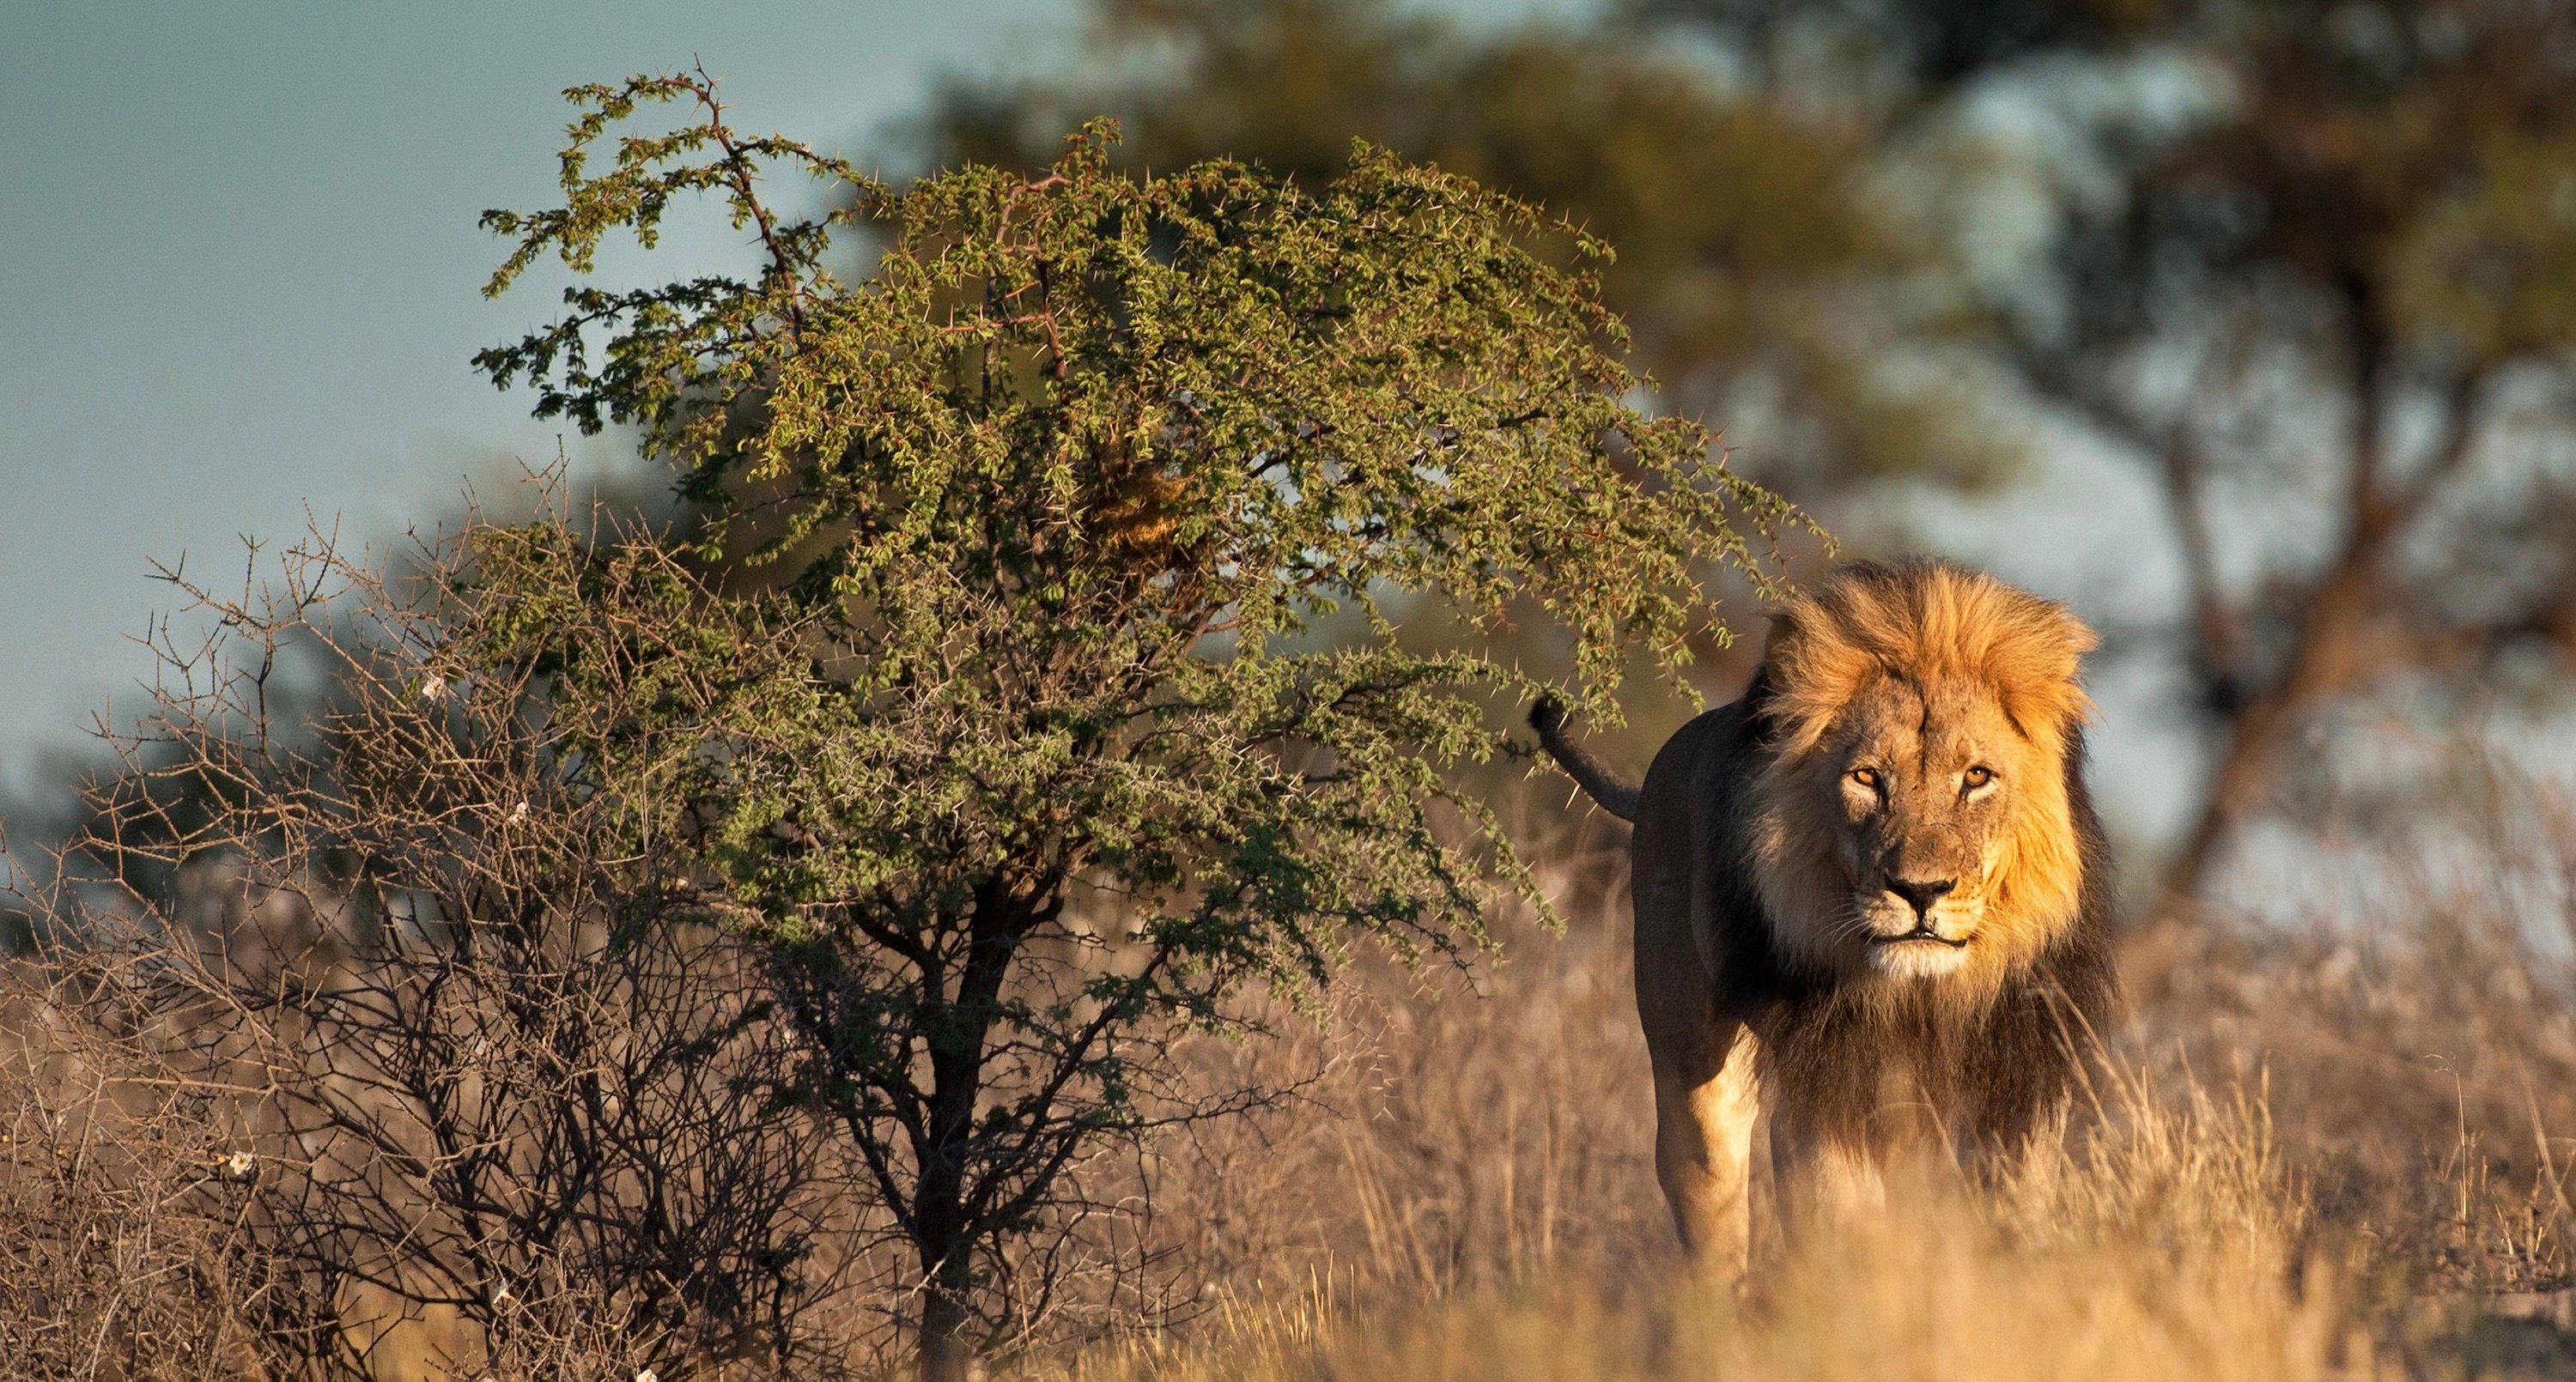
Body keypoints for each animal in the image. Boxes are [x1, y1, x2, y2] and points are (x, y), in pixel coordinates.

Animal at [1525, 555, 2112, 1266]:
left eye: (1976, 777)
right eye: (1866, 778)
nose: (1920, 891)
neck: (1922, 997)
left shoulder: (2017, 1089)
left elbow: (2009, 1217)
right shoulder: (1826, 1094)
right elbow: (1845, 1227)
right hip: (1692, 1060)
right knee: (1711, 1195)